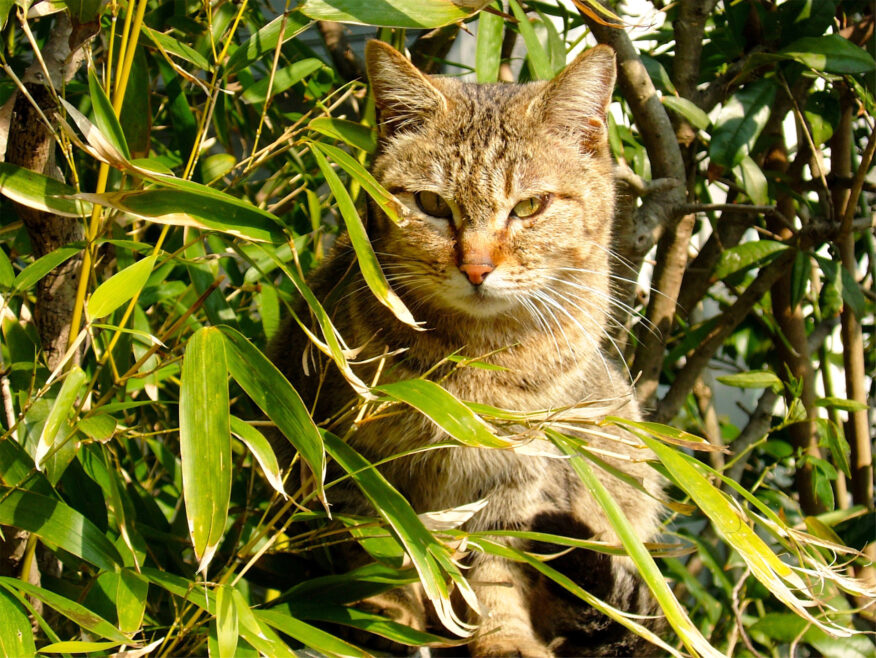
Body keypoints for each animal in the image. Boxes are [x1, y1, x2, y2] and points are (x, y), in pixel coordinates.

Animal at [268, 42, 664, 656]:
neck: (479, 359)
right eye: (432, 203)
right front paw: (386, 627)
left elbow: (495, 572)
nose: (476, 267)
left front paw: (504, 637)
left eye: (529, 207)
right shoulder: (355, 464)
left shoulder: (519, 480)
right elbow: (385, 562)